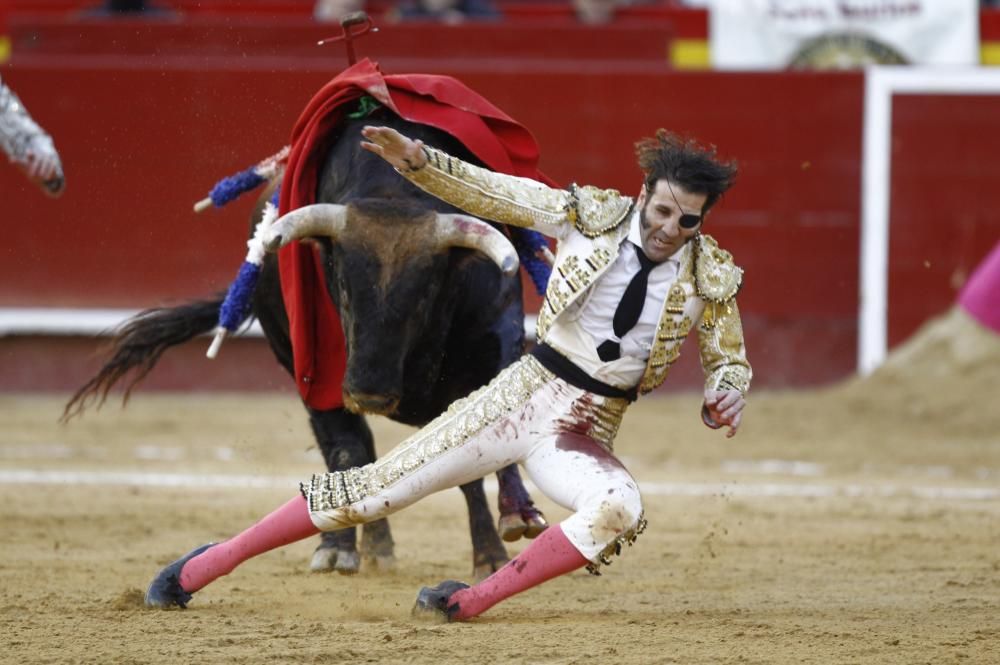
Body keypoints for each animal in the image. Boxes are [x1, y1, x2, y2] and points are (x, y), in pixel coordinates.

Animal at [64, 105, 548, 580]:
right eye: (342, 285)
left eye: (427, 292)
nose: (369, 393)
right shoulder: (312, 370)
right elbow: (347, 447)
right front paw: (337, 550)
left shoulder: (492, 352)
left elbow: (481, 456)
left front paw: (495, 548)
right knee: (358, 453)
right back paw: (370, 548)